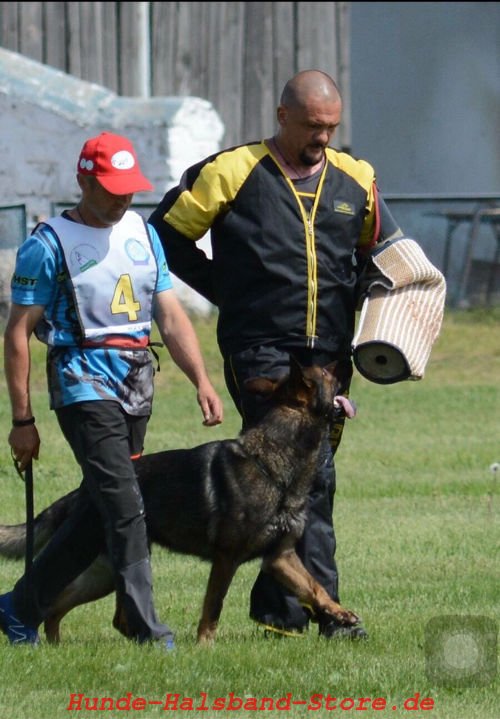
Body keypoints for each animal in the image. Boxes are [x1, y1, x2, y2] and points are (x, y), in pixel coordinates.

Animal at [0, 360, 360, 648]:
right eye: (327, 372)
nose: (346, 359)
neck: (274, 464)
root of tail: (83, 490)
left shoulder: (280, 558)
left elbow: (316, 588)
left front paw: (341, 614)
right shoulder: (227, 559)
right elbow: (213, 606)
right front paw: (204, 646)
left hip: (103, 574)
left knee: (77, 610)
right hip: (91, 560)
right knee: (56, 600)